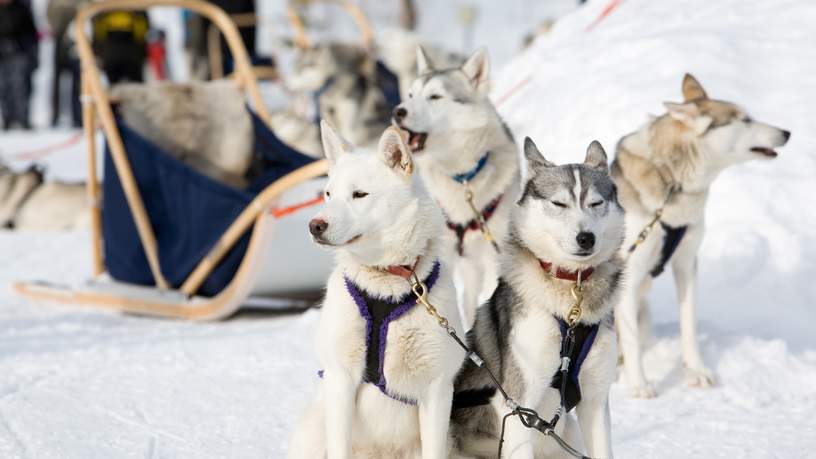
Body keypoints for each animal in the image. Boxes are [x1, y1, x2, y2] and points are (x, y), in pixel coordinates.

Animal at [286, 120, 466, 458]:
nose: (314, 225)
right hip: (315, 426)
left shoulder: (437, 390)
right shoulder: (341, 380)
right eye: (328, 193)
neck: (385, 288)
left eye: (359, 194)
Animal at [612, 73, 792, 398]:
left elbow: (689, 324)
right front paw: (640, 385)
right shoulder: (629, 272)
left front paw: (696, 372)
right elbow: (631, 344)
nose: (786, 132)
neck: (673, 181)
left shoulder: (687, 262)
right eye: (744, 120)